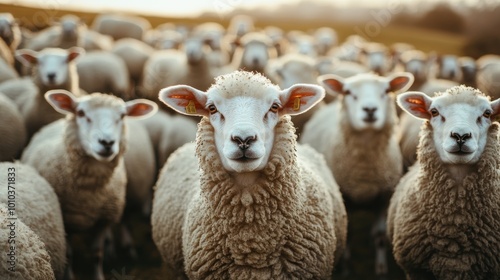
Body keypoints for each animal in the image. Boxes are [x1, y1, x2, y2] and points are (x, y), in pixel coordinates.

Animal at [21, 89, 156, 280]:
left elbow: (96, 253)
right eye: (81, 113)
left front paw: (99, 273)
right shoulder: (65, 222)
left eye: (122, 116)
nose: (107, 143)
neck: (88, 194)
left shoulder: (104, 219)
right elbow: (69, 255)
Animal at [300, 71, 414, 276]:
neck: (364, 173)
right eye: (348, 92)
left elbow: (380, 235)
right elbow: (349, 232)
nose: (370, 109)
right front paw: (346, 268)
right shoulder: (345, 197)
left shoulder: (383, 197)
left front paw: (381, 269)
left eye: (386, 91)